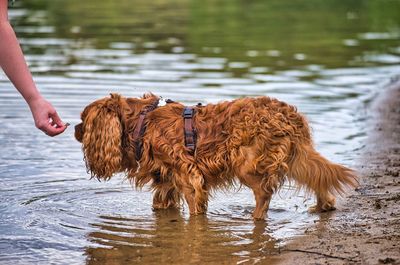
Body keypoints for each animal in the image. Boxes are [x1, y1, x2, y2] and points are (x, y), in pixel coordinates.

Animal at [74, 93, 356, 219]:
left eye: (83, 121)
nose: (75, 129)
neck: (143, 122)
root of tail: (290, 115)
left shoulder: (189, 178)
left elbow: (195, 207)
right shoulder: (167, 181)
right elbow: (161, 203)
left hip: (247, 165)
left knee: (264, 194)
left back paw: (255, 218)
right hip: (297, 158)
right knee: (318, 176)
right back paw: (324, 206)